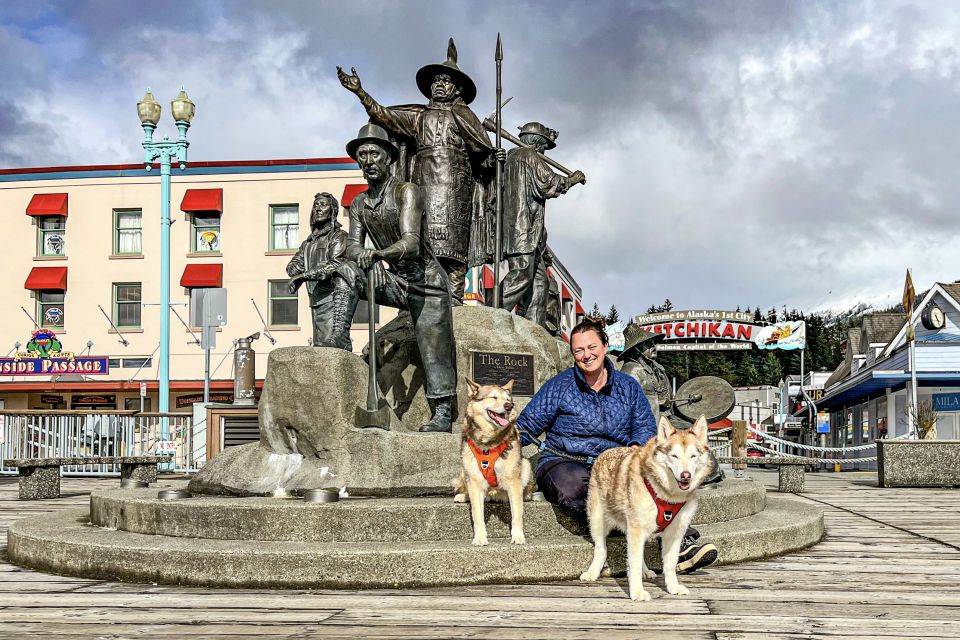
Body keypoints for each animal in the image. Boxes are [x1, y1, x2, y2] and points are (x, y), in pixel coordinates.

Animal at [454, 378, 536, 548]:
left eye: (508, 399)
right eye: (493, 397)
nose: (509, 406)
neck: (488, 442)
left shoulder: (513, 481)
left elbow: (517, 514)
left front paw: (518, 536)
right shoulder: (475, 481)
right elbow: (477, 515)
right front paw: (479, 537)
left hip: (525, 464)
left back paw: (526, 495)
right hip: (464, 470)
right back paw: (463, 496)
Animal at [580, 416, 708, 600]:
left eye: (693, 456)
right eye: (674, 456)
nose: (686, 476)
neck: (667, 495)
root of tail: (605, 452)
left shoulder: (675, 531)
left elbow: (669, 564)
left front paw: (673, 587)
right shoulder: (636, 528)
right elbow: (633, 564)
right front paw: (637, 592)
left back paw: (646, 571)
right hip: (597, 520)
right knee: (601, 549)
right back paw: (592, 573)